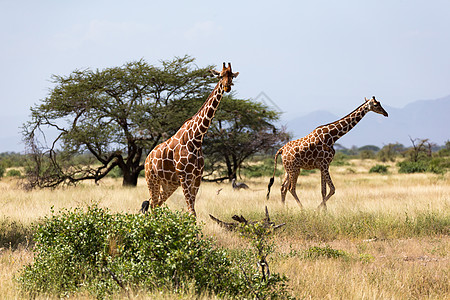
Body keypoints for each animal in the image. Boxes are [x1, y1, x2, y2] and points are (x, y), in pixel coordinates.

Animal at [144, 62, 239, 217]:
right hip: (152, 179)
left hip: (169, 184)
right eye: (220, 76)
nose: (227, 87)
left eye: (231, 75)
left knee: (156, 204)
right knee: (152, 205)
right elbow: (191, 211)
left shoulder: (197, 177)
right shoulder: (185, 176)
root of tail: (147, 159)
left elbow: (193, 211)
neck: (196, 139)